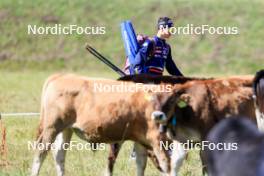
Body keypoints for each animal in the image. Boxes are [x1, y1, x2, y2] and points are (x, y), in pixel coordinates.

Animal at [29, 73, 183, 176]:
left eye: (171, 100)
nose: (158, 115)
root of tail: (61, 75)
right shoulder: (157, 139)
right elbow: (166, 165)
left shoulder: (140, 140)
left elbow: (141, 164)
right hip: (51, 128)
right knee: (40, 153)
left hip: (66, 129)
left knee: (59, 154)